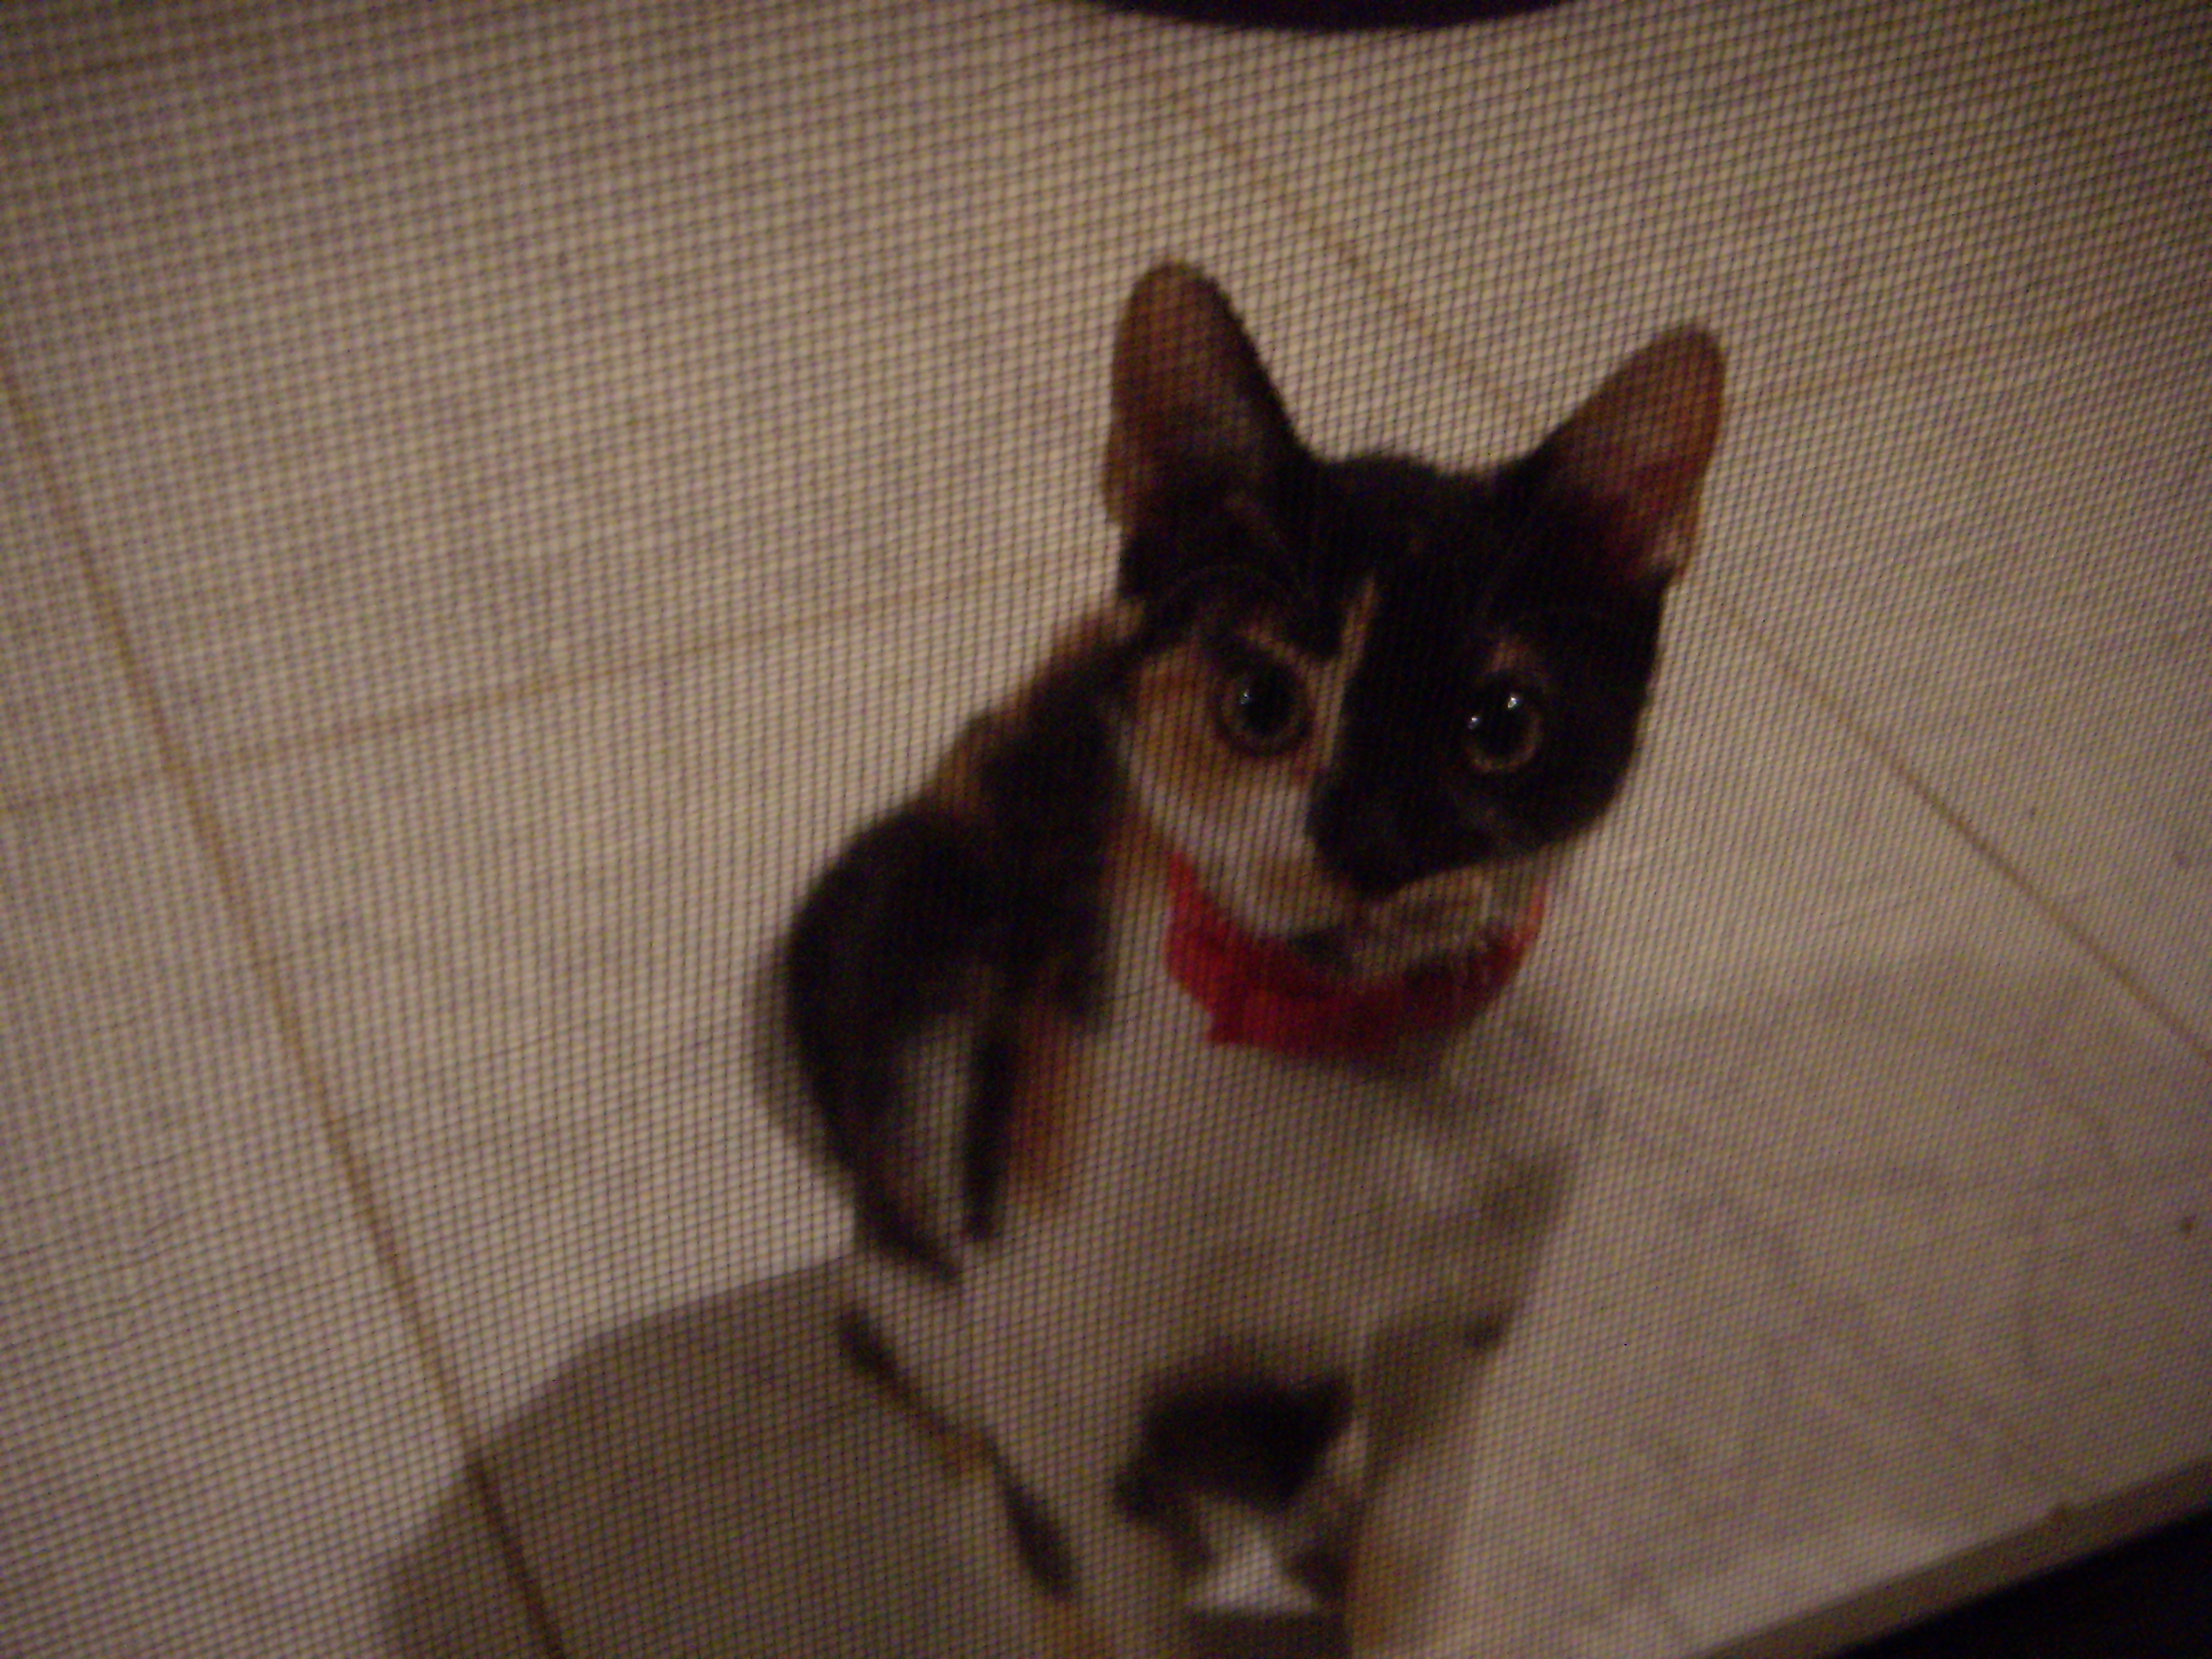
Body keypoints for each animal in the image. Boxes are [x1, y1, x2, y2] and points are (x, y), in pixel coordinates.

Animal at [759, 263, 1723, 1656]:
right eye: (1262, 705)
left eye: (1501, 726)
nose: (1372, 844)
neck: (1349, 1044)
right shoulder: (1051, 1345)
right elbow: (1105, 1575)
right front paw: (1067, 1574)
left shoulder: (1461, 1321)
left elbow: (1416, 1534)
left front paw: (1381, 1577)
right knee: (942, 1398)